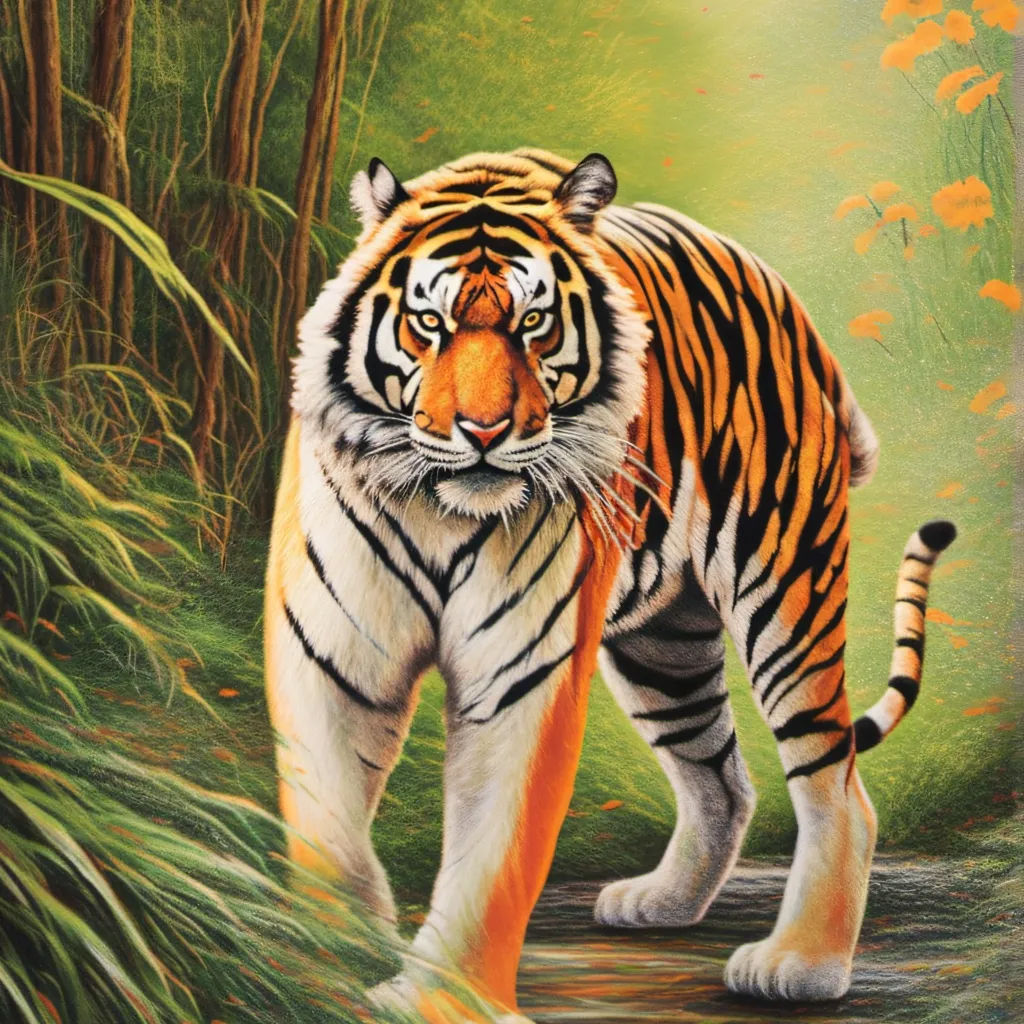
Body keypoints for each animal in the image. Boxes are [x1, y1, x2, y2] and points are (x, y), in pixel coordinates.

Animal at [264, 147, 956, 1018]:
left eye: (533, 323)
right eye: (431, 323)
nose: (483, 432)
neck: (439, 509)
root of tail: (782, 296)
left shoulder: (520, 674)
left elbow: (494, 852)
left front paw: (444, 999)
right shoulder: (328, 657)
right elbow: (326, 833)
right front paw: (324, 968)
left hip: (783, 587)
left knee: (838, 788)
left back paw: (802, 963)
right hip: (664, 643)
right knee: (721, 778)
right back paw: (665, 901)